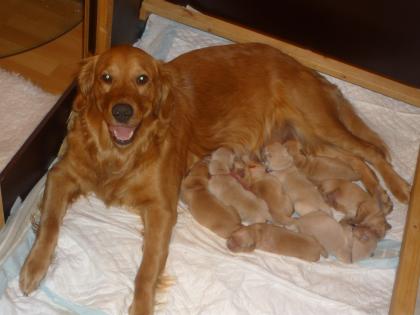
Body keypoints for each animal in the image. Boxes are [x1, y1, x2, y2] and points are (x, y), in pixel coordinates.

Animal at [20, 43, 410, 314]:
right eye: (106, 77)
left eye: (142, 79)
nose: (122, 111)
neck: (119, 152)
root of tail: (304, 66)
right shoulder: (61, 173)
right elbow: (51, 223)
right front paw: (34, 266)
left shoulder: (162, 208)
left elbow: (147, 269)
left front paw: (141, 305)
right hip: (309, 140)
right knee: (354, 160)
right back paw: (378, 198)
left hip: (317, 124)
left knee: (371, 151)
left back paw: (398, 191)